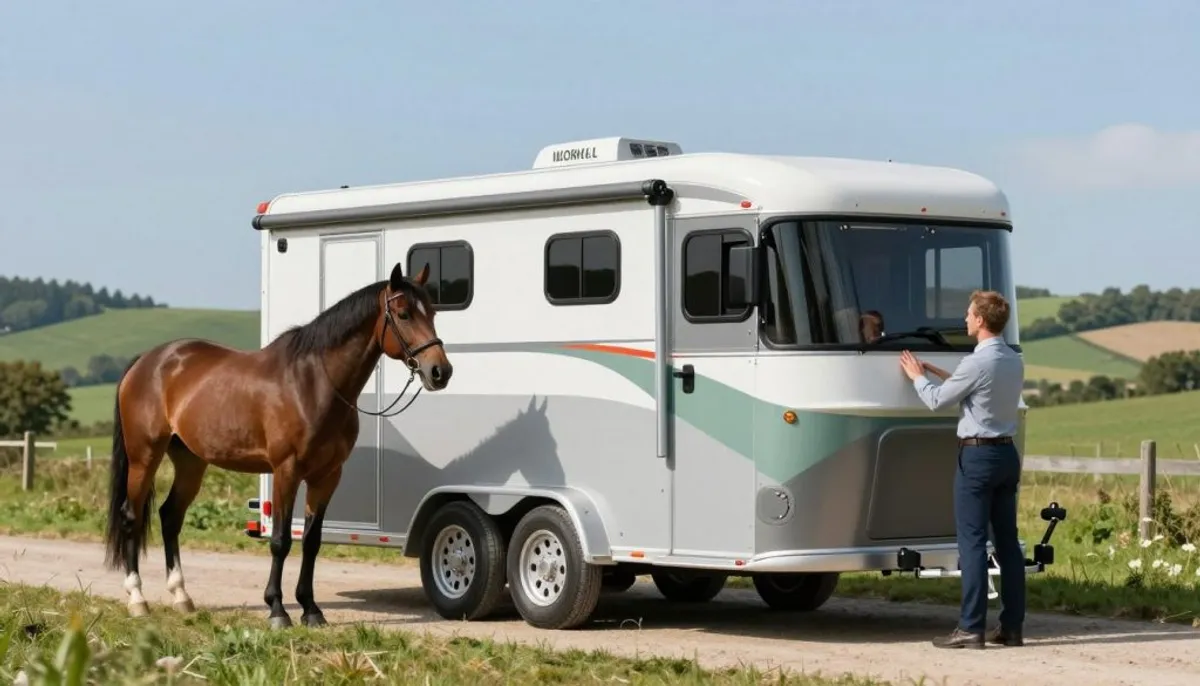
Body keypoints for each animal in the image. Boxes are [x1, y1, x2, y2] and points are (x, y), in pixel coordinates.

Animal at [102, 261, 452, 629]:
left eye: (432, 312)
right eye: (403, 313)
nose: (440, 371)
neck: (313, 383)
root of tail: (147, 361)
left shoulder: (327, 476)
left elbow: (311, 541)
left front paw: (311, 609)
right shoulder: (287, 471)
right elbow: (281, 541)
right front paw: (277, 610)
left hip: (191, 461)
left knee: (170, 516)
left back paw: (181, 596)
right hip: (144, 457)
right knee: (131, 516)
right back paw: (137, 599)